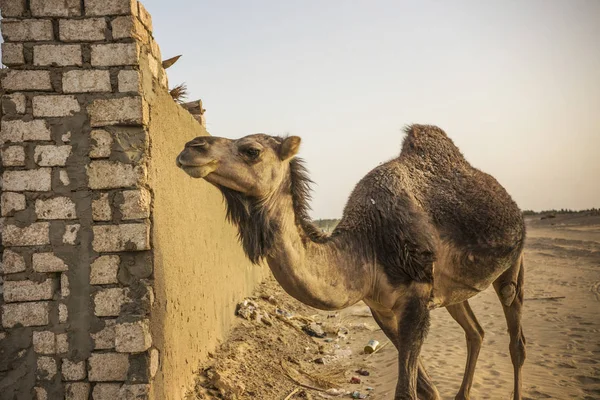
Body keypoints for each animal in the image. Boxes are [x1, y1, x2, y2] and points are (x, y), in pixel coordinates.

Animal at [177, 126, 524, 400]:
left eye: (251, 151)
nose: (191, 147)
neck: (367, 244)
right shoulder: (381, 307)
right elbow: (427, 389)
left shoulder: (415, 297)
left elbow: (406, 391)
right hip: (453, 290)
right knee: (476, 332)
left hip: (513, 262)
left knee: (515, 338)